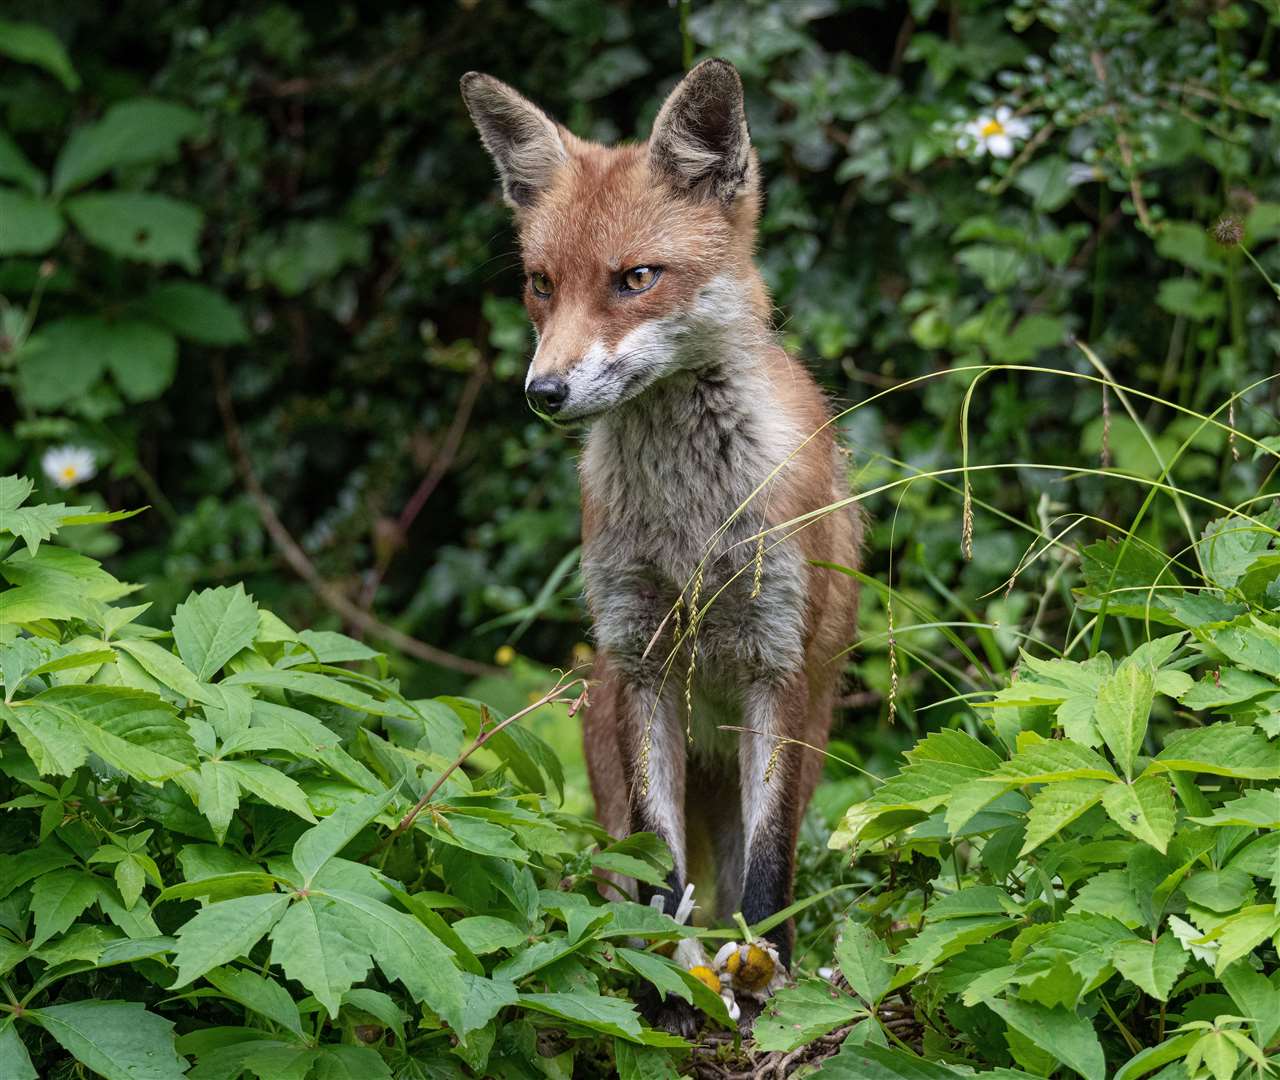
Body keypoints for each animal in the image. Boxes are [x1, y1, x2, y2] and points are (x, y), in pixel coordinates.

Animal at [460, 61, 860, 1039]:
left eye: (636, 278)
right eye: (541, 283)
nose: (544, 392)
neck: (692, 531)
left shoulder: (776, 665)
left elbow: (765, 869)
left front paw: (762, 974)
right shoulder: (640, 657)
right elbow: (658, 863)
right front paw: (667, 983)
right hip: (610, 724)